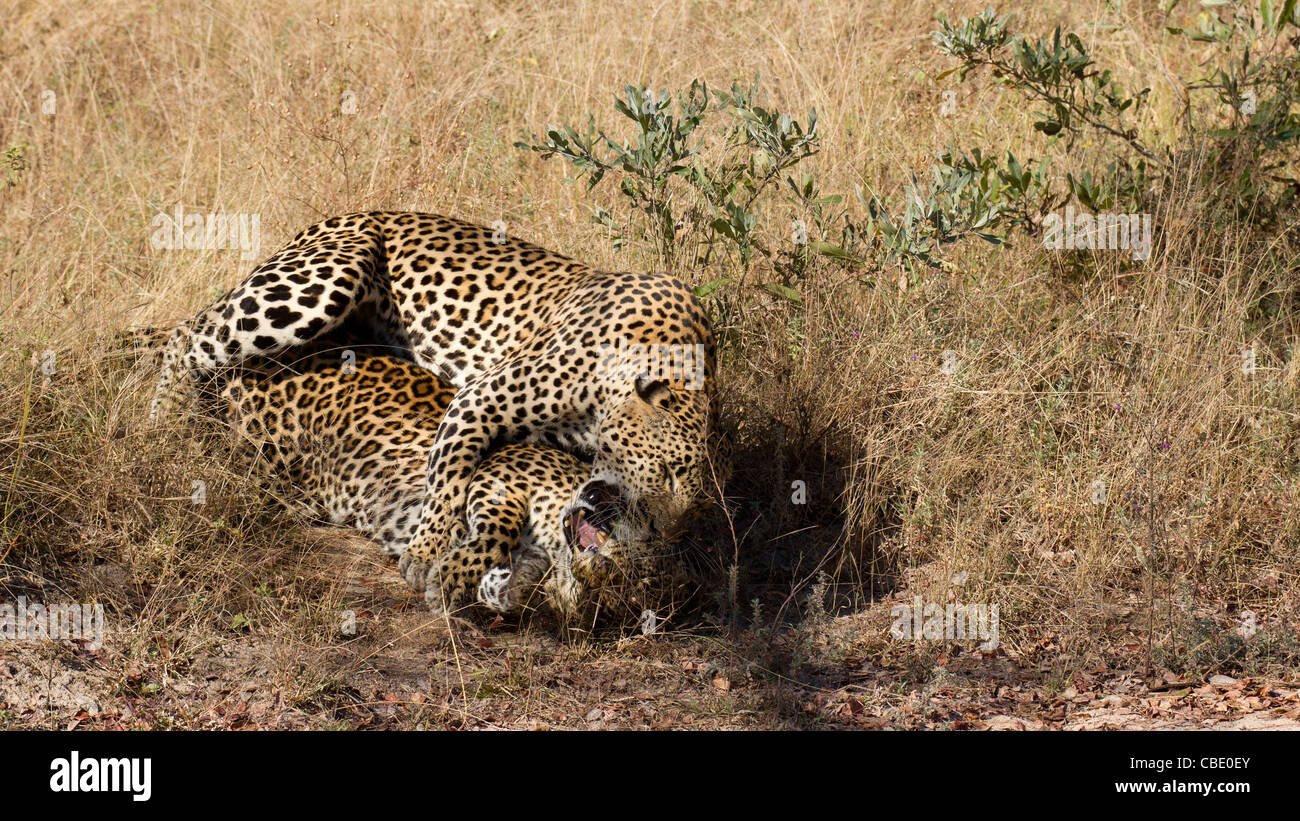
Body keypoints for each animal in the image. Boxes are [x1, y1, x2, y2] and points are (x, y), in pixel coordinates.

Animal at [220, 345, 702, 620]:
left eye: (626, 585)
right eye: (642, 528)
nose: (598, 570)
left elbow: (502, 582)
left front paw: (510, 586)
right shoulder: (505, 469)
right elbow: (492, 529)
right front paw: (445, 573)